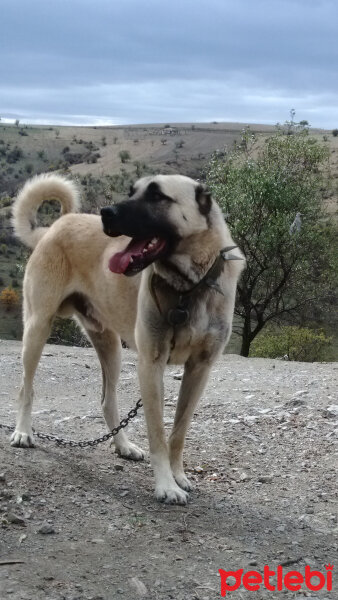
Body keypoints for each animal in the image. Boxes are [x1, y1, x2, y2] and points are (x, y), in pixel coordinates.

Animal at [10, 171, 243, 504]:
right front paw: (166, 485)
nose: (106, 213)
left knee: (108, 402)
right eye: (132, 191)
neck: (187, 288)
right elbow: (158, 434)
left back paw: (123, 445)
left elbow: (178, 431)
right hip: (37, 327)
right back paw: (22, 431)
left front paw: (179, 475)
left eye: (157, 196)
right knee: (25, 388)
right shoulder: (151, 365)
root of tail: (54, 227)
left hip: (110, 347)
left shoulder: (200, 369)